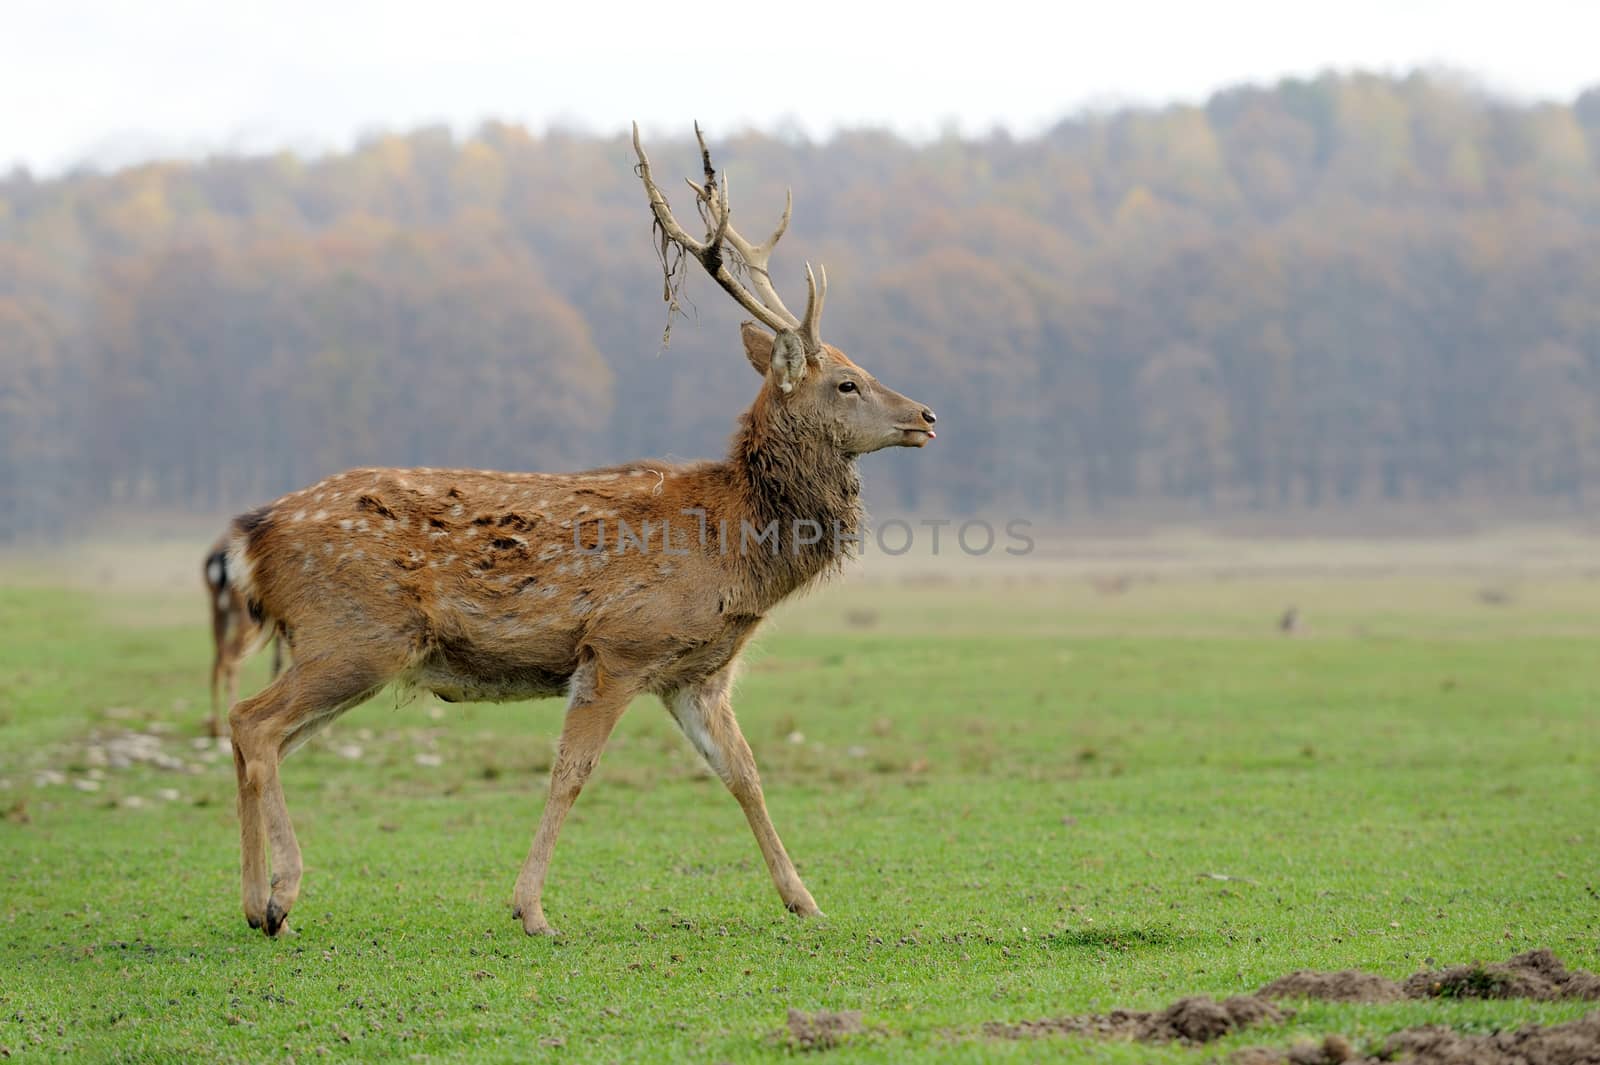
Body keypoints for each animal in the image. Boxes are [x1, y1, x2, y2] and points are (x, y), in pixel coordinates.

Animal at [222, 124, 934, 933]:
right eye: (846, 382)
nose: (925, 415)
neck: (730, 545)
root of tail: (251, 538)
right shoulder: (621, 645)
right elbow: (571, 772)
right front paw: (531, 909)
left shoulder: (698, 673)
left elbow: (744, 774)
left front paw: (804, 900)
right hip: (354, 632)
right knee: (253, 723)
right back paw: (278, 895)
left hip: (346, 645)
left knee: (256, 733)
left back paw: (258, 901)